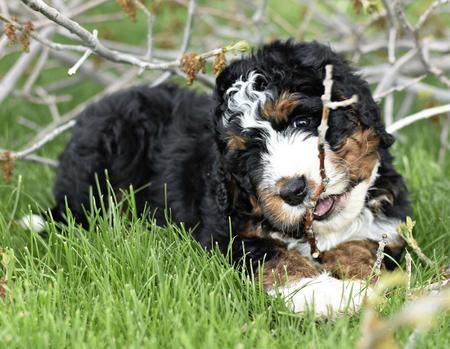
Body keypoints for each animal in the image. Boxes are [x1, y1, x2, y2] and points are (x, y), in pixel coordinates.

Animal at [38, 40, 410, 316]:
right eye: (250, 153)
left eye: (303, 121)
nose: (293, 190)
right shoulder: (225, 233)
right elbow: (277, 258)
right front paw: (329, 295)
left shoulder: (388, 228)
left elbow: (365, 247)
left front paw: (358, 277)